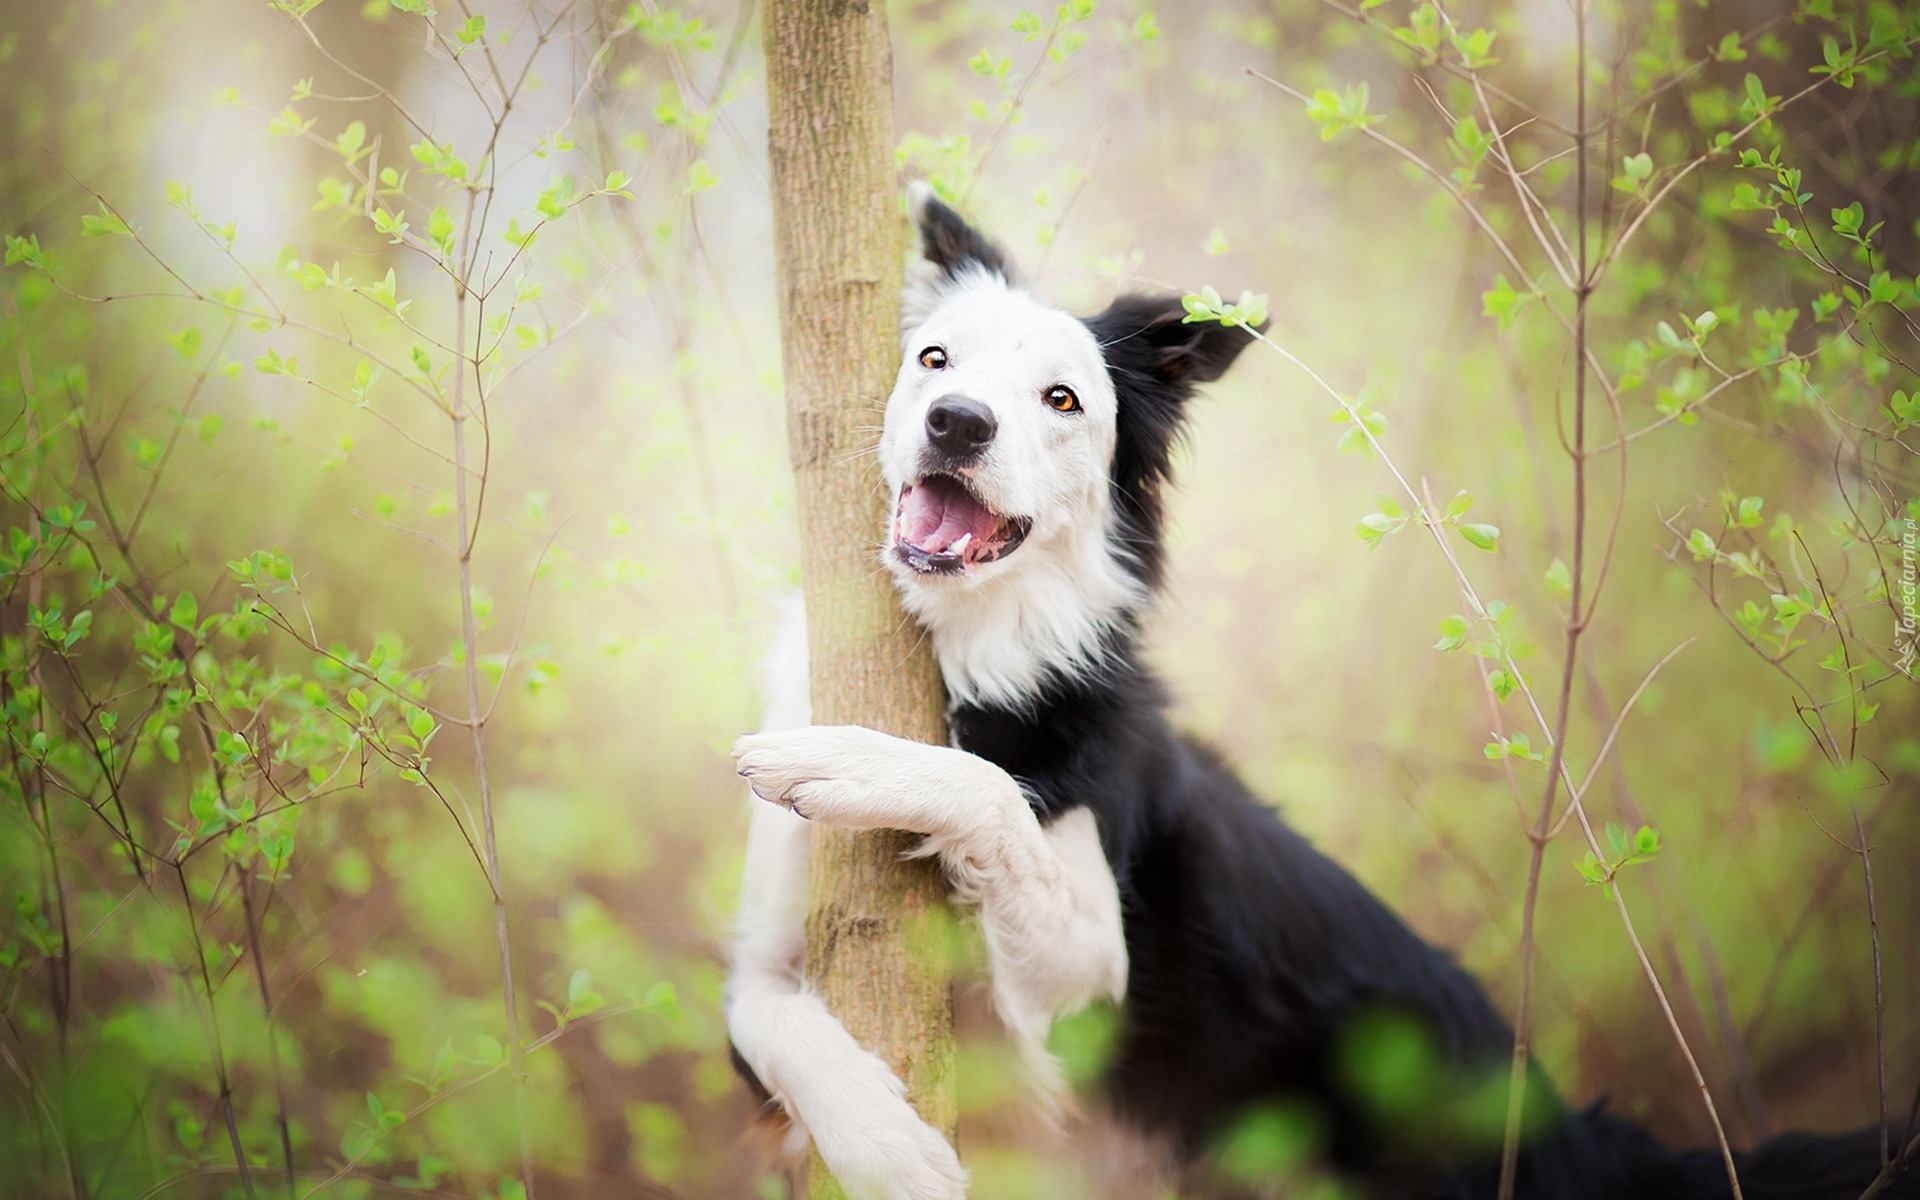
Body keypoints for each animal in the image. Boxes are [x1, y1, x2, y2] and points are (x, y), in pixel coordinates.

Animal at [721, 185, 1920, 1198]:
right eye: (935, 359)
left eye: (1062, 399)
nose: (958, 422)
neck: (979, 657)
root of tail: (1580, 1145)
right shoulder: (772, 966)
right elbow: (768, 1016)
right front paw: (884, 1144)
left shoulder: (1087, 1000)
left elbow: (988, 794)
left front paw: (851, 760)